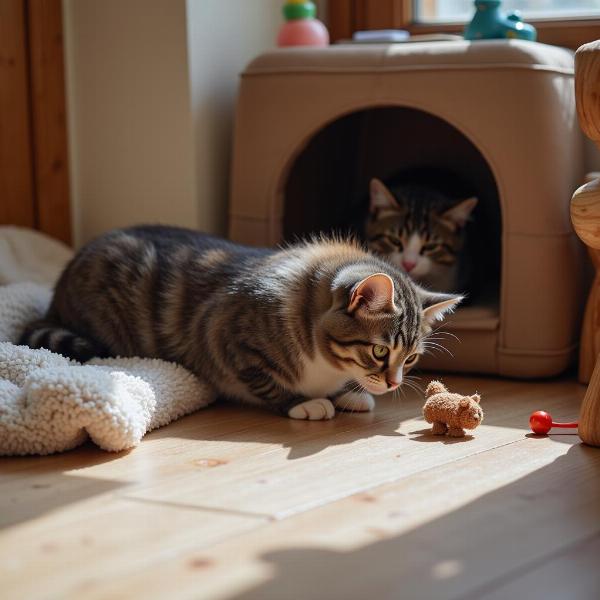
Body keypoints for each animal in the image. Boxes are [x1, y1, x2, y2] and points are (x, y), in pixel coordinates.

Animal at [18, 227, 460, 420]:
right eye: (380, 350)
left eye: (411, 359)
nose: (394, 384)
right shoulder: (225, 338)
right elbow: (264, 380)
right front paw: (303, 403)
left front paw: (349, 394)